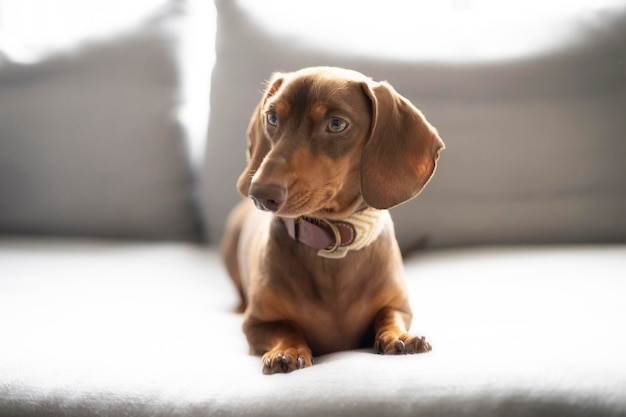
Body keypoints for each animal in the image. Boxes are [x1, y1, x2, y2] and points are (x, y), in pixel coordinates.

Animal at [222, 66, 442, 374]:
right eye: (273, 117)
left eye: (336, 124)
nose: (260, 194)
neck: (332, 241)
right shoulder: (257, 323)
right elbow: (286, 328)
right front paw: (288, 351)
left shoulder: (399, 306)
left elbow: (390, 315)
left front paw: (398, 336)